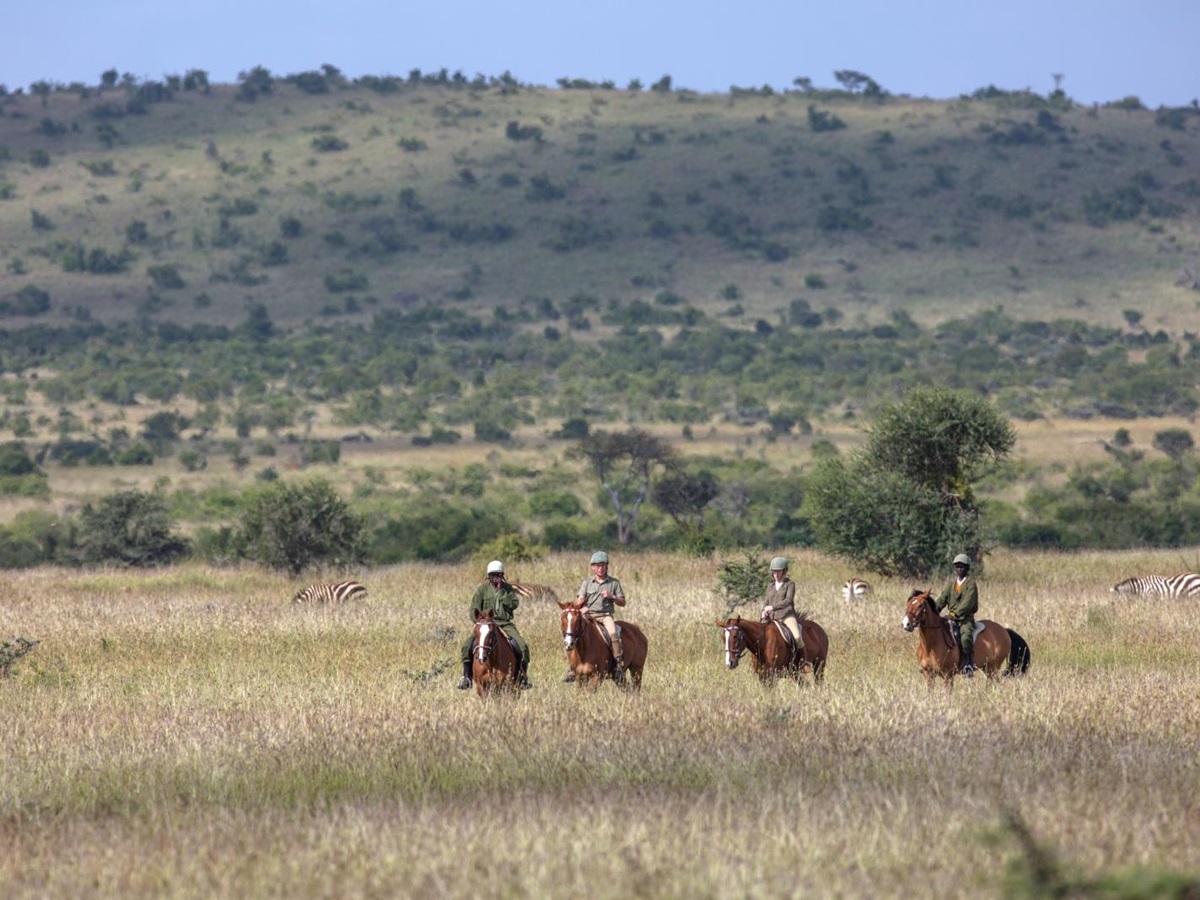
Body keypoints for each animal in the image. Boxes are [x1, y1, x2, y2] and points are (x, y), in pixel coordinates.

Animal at [901, 589, 1030, 687]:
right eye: (907, 604)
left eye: (920, 605)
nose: (906, 624)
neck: (931, 645)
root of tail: (1004, 630)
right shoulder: (928, 674)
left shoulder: (948, 675)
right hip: (987, 667)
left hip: (993, 666)